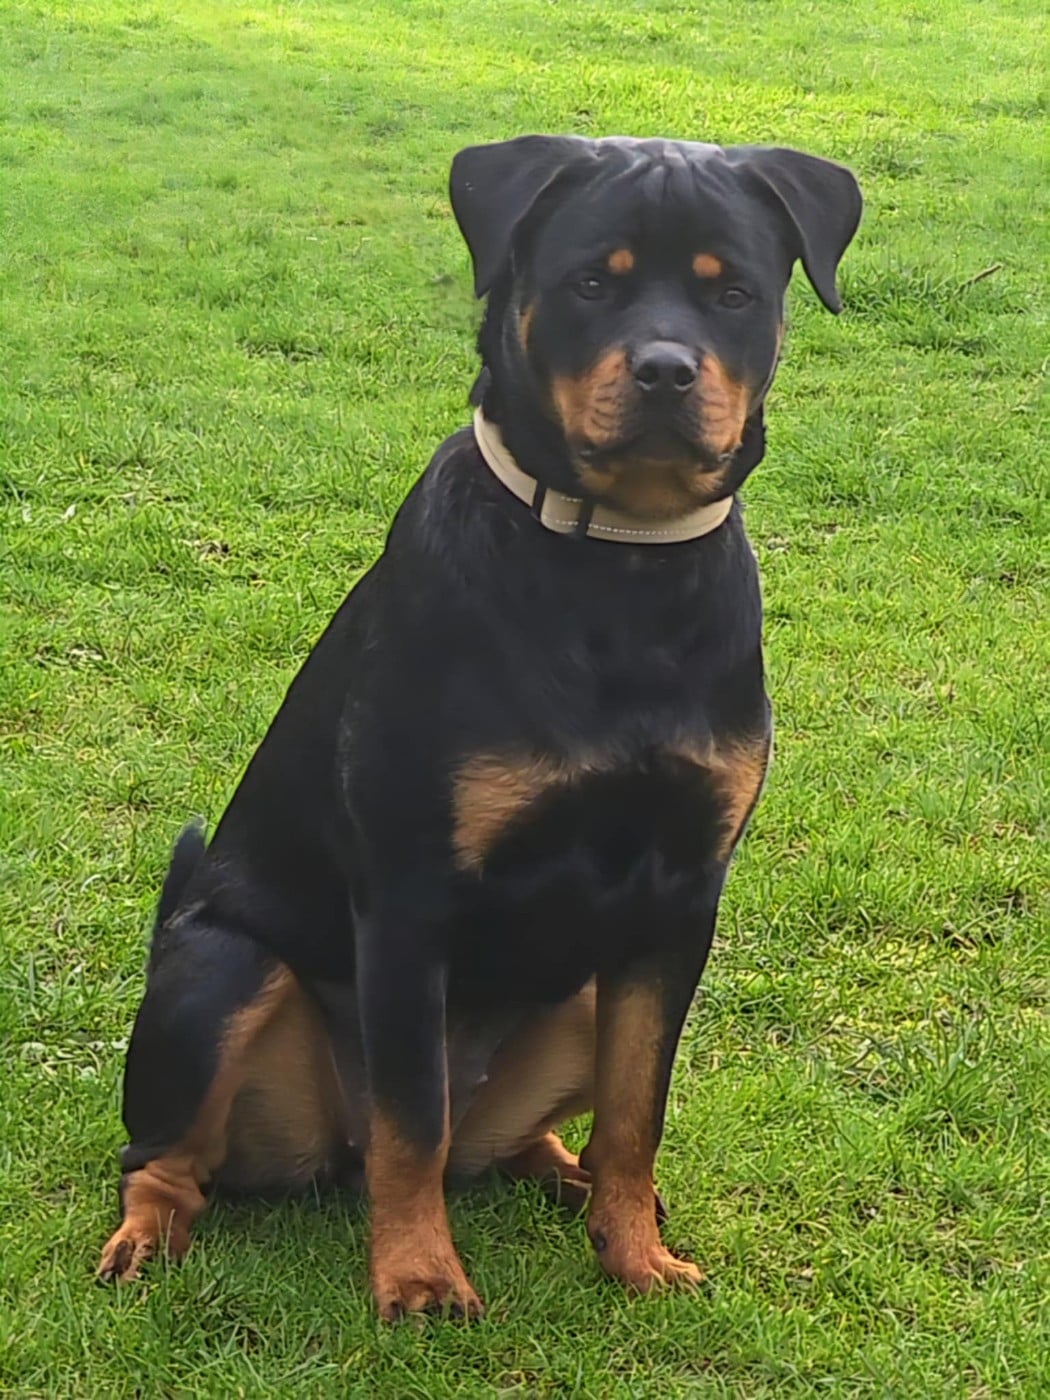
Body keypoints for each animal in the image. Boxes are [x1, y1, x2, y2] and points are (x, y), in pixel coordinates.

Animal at [98, 135, 861, 1320]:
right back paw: (150, 1233)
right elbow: (414, 1115)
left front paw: (636, 1254)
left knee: (510, 1139)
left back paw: (568, 1174)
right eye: (592, 282)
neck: (616, 572)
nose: (665, 371)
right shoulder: (412, 895)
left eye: (732, 292)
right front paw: (418, 1278)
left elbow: (638, 1110)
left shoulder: (681, 900)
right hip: (218, 969)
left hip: (584, 988)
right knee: (179, 1150)